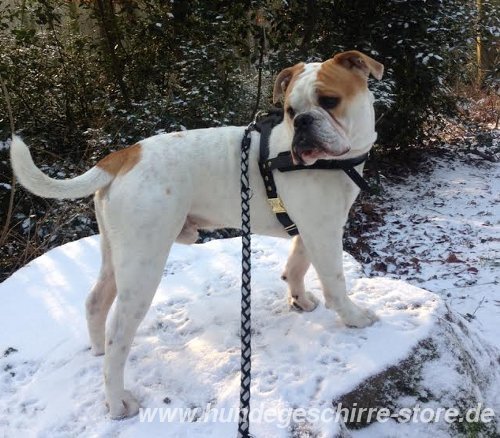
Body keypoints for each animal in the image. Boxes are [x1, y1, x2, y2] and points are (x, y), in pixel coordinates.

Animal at [11, 50, 384, 418]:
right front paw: (354, 317)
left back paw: (98, 349)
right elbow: (335, 282)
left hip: (114, 254)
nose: (304, 122)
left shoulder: (310, 228)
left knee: (95, 302)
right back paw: (117, 401)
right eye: (292, 111)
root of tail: (124, 155)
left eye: (329, 100)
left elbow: (296, 265)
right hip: (142, 265)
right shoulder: (323, 231)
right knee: (119, 334)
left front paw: (300, 300)